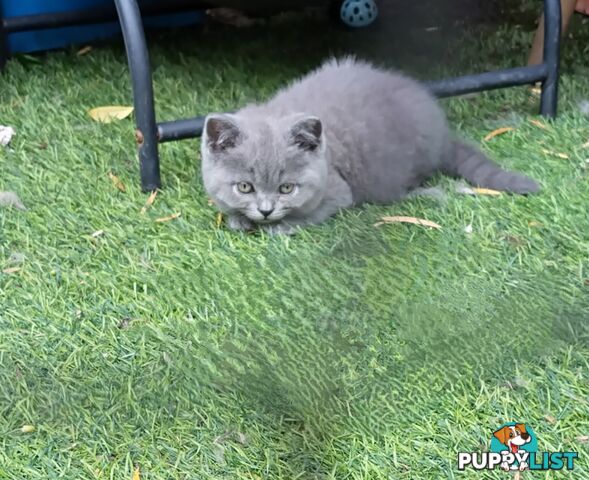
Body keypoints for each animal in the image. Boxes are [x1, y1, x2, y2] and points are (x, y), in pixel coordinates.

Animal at [200, 58, 540, 234]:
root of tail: (441, 131)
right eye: (245, 187)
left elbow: (312, 213)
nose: (266, 210)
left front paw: (280, 225)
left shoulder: (338, 192)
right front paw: (239, 219)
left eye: (287, 189)